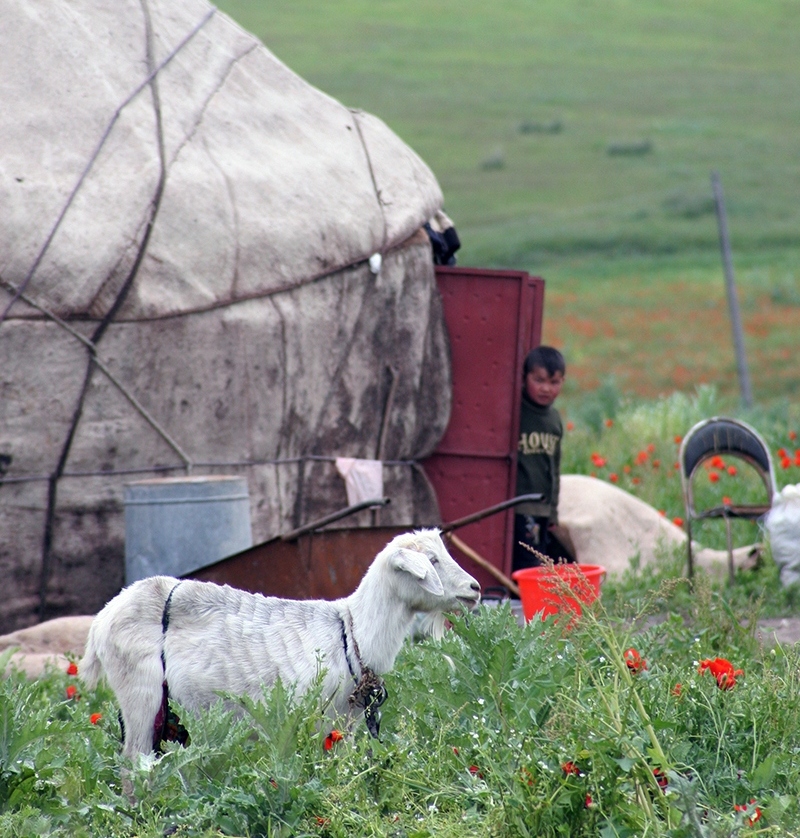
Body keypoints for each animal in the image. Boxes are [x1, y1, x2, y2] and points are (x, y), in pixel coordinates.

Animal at [81, 532, 478, 760]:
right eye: (431, 561)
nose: (474, 589)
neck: (350, 632)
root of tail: (103, 617)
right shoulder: (314, 717)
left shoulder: (345, 724)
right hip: (140, 692)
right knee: (133, 765)